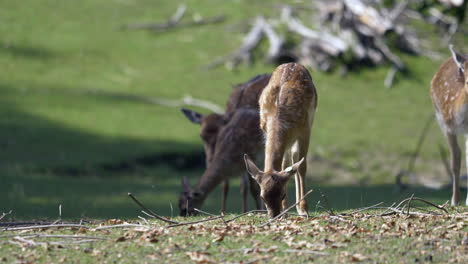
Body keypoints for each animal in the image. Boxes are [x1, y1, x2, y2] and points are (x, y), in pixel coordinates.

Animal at [178, 73, 270, 214]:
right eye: (201, 136)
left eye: (186, 209)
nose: (209, 161)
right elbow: (233, 185)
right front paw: (225, 212)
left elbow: (254, 186)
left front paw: (259, 211)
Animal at [245, 63, 318, 218]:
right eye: (262, 197)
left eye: (283, 194)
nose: (274, 216)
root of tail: (293, 63)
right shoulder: (264, 129)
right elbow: (286, 165)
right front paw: (286, 210)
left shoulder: (305, 130)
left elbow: (302, 167)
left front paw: (304, 209)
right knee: (287, 162)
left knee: (295, 160)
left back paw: (300, 208)